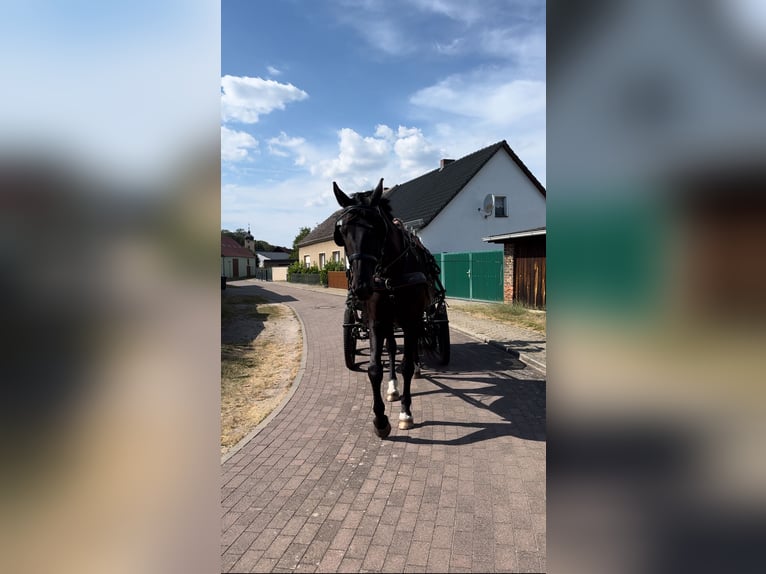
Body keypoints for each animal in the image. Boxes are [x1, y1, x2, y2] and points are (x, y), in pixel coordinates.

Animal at [332, 178, 436, 438]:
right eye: (343, 232)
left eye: (377, 228)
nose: (361, 286)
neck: (391, 274)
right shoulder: (377, 321)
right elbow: (374, 368)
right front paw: (380, 420)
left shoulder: (410, 319)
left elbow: (406, 365)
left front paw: (406, 413)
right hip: (390, 321)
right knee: (390, 349)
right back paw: (392, 388)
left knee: (412, 348)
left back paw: (416, 369)